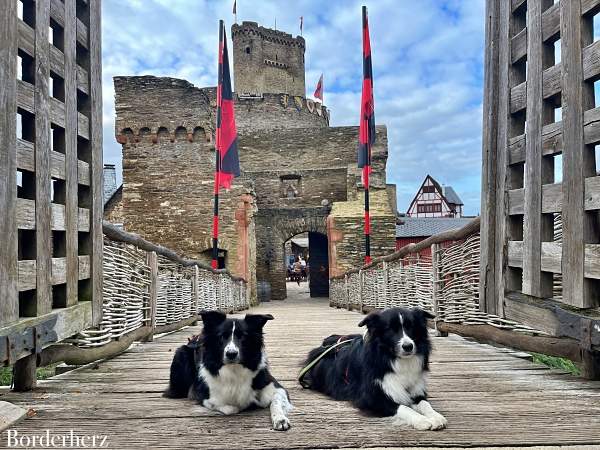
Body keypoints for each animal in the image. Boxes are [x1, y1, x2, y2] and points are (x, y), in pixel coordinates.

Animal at [163, 312, 292, 430]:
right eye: (222, 336)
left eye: (243, 336)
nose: (231, 354)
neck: (234, 369)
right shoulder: (204, 396)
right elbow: (231, 408)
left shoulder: (276, 387)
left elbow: (276, 402)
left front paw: (280, 419)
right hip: (181, 354)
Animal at [302, 308, 448, 430]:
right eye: (390, 329)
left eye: (411, 327)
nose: (408, 346)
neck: (393, 359)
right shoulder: (371, 398)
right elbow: (403, 407)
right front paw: (421, 420)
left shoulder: (416, 390)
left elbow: (425, 404)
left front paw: (436, 417)